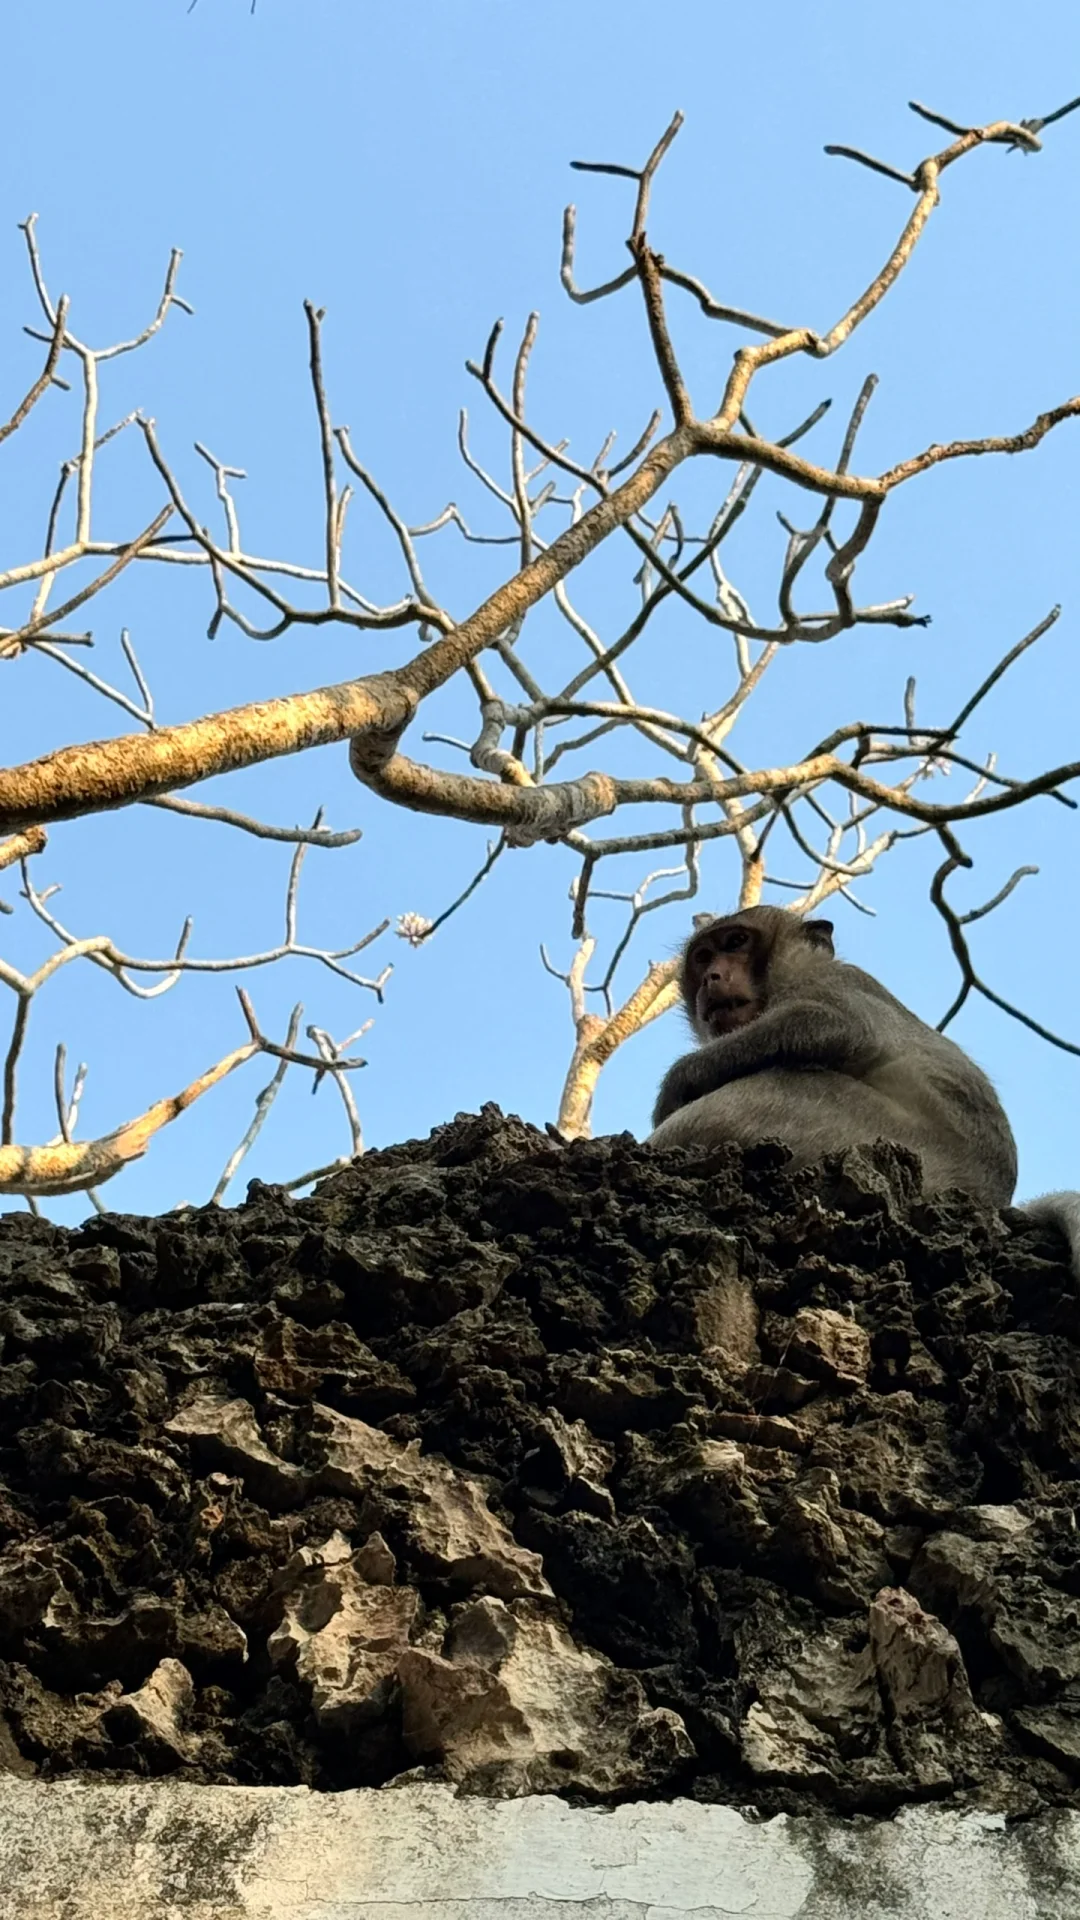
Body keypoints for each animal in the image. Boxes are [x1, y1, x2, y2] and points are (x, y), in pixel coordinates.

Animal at [645, 910, 1076, 1274]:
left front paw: (678, 1082)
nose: (712, 977)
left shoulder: (829, 980)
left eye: (736, 942)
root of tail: (992, 1202)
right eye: (703, 957)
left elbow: (837, 1024)